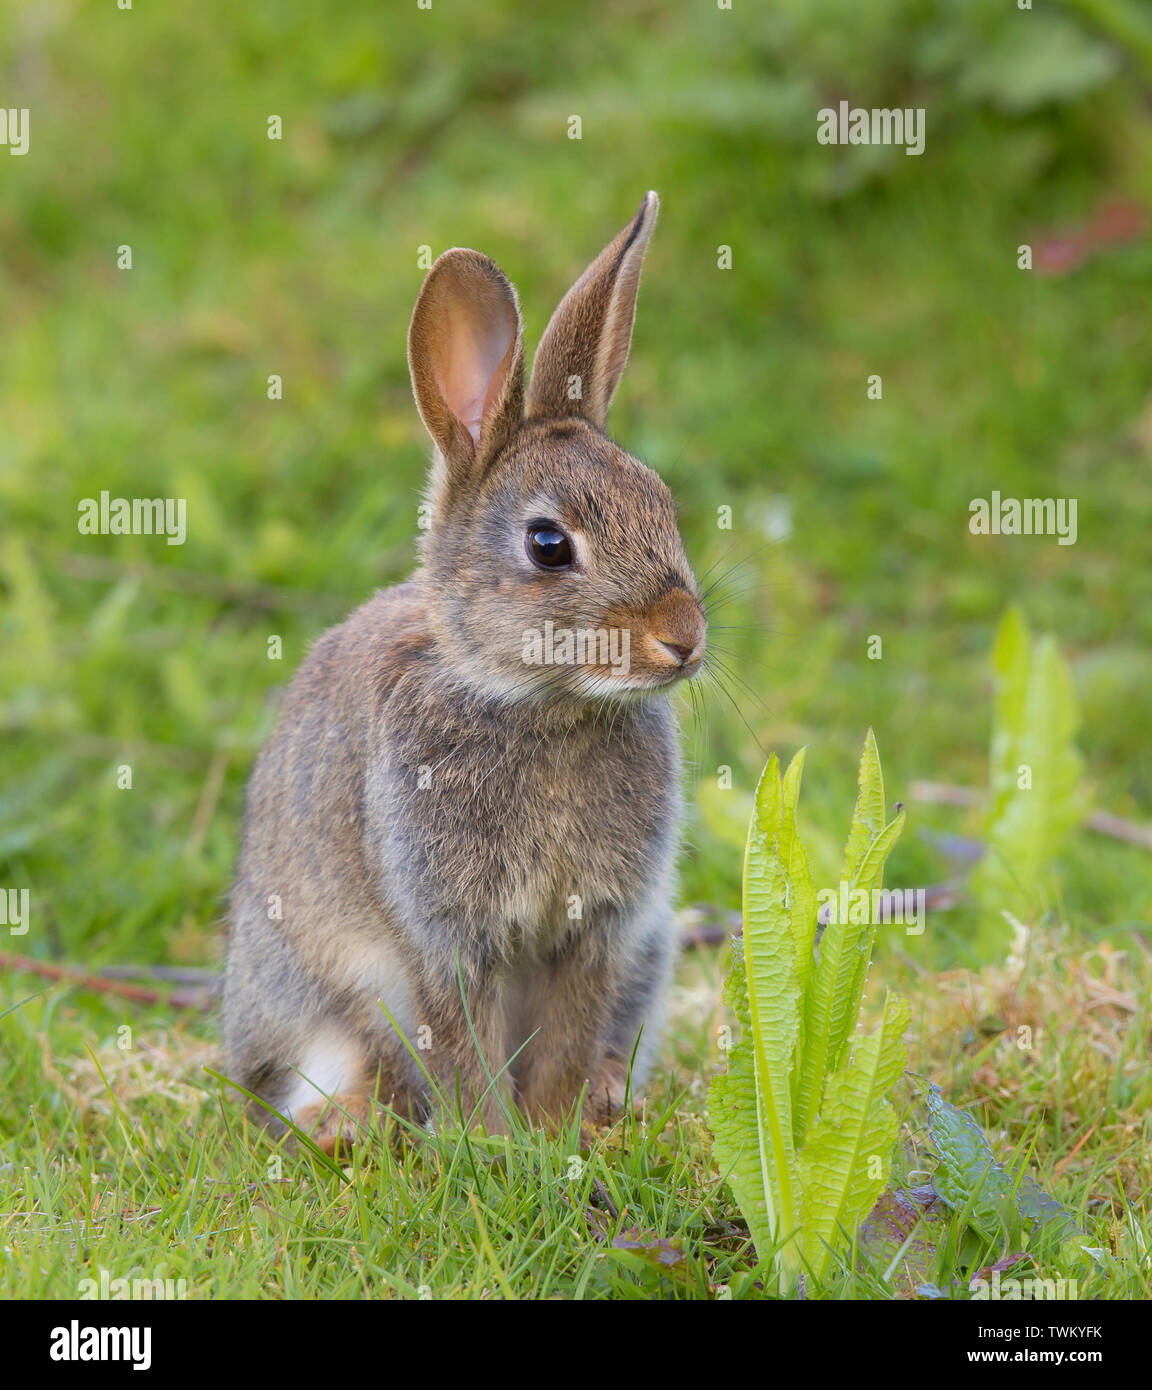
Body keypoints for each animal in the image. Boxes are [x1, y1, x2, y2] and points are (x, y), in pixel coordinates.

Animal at [219, 193, 705, 1150]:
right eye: (548, 544)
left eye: (662, 504)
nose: (685, 637)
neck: (543, 706)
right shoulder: (442, 934)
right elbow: (461, 1038)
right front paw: (494, 1144)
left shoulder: (602, 929)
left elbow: (566, 1034)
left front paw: (555, 1131)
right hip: (315, 1002)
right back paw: (349, 1132)